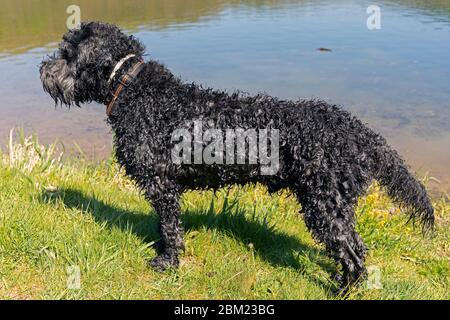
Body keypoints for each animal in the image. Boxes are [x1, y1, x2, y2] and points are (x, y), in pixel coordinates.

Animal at [40, 22, 434, 292]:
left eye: (67, 53)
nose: (42, 69)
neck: (138, 93)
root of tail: (357, 131)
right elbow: (164, 227)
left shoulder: (162, 186)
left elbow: (170, 228)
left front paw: (168, 262)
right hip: (334, 205)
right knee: (355, 249)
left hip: (325, 206)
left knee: (354, 255)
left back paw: (342, 290)